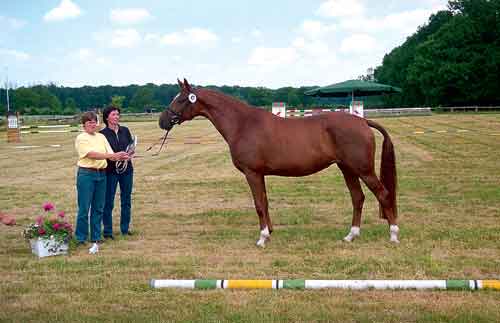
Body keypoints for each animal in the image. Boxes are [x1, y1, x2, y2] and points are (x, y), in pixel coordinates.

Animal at [158, 79, 400, 247]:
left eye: (181, 99)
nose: (162, 121)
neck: (243, 124)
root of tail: (363, 121)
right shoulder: (260, 174)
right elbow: (264, 203)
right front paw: (269, 233)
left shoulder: (252, 173)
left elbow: (258, 204)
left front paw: (262, 238)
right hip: (347, 169)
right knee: (358, 198)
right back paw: (351, 235)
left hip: (363, 169)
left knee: (383, 194)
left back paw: (393, 235)